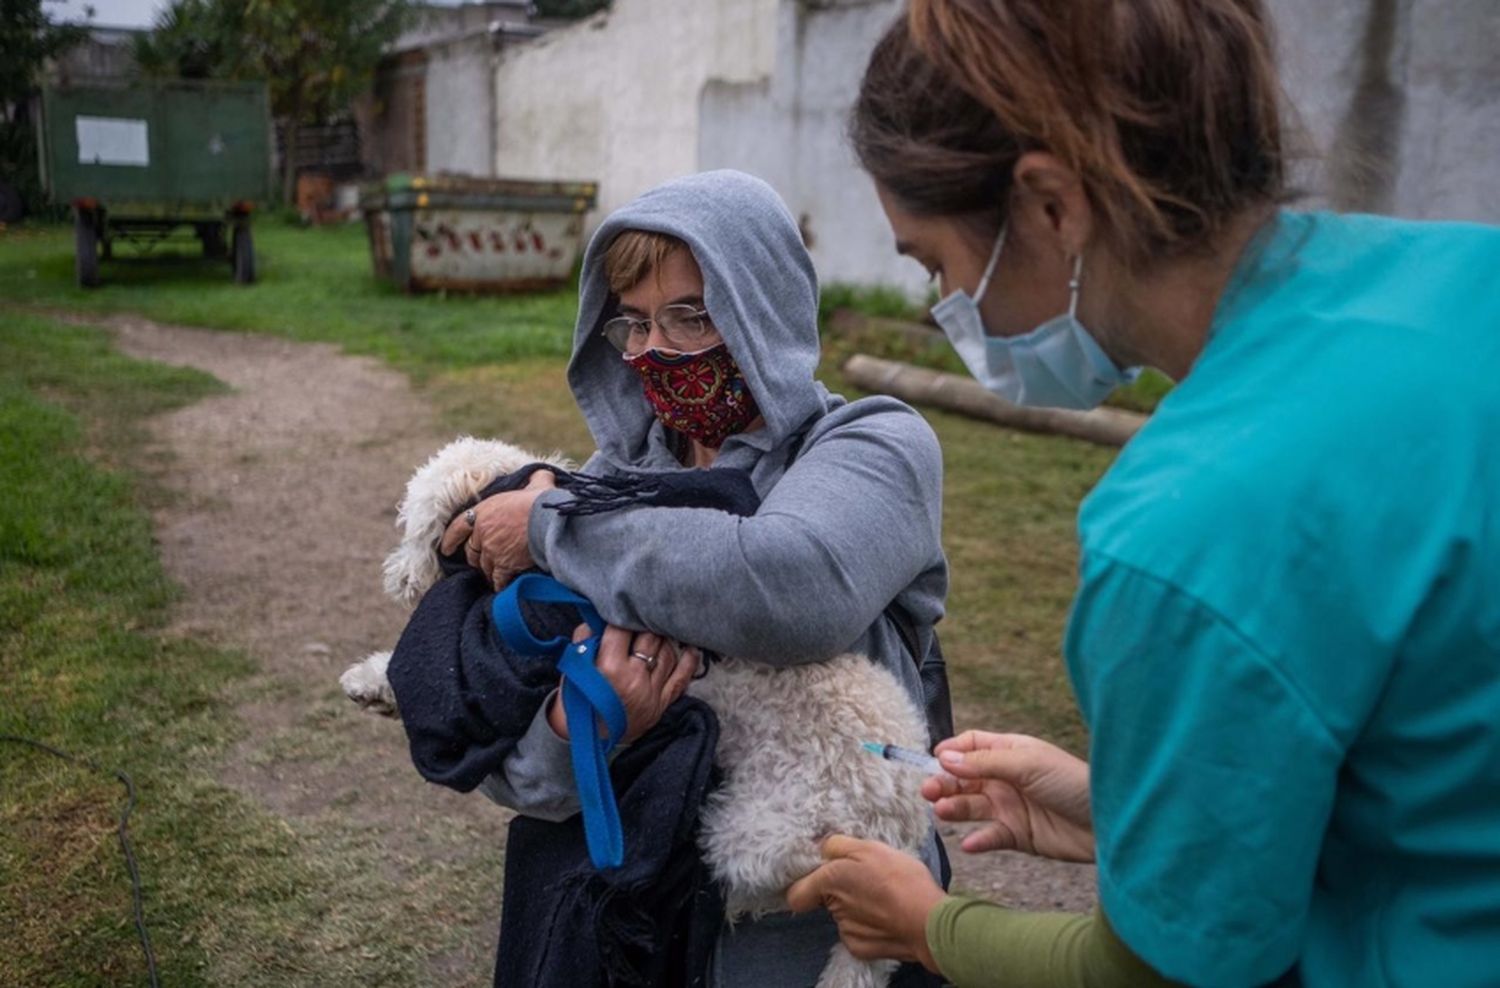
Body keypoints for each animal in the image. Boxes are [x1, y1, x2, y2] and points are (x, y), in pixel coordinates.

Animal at [343, 437, 930, 988]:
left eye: (416, 528)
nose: (397, 579)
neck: (547, 579)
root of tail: (901, 818)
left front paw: (374, 679)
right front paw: (373, 688)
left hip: (762, 828)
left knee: (799, 885)